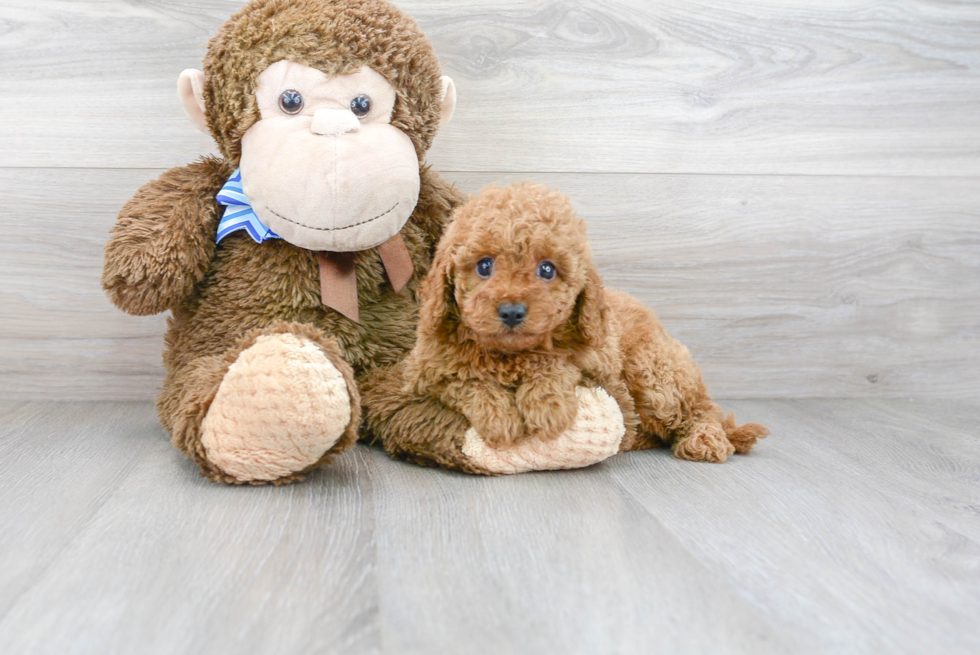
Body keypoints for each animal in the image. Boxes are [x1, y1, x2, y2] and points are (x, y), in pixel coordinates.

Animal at [394, 182, 768, 464]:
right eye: (484, 266)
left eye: (547, 270)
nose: (512, 311)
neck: (510, 354)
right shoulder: (424, 372)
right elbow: (464, 379)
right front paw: (498, 417)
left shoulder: (600, 367)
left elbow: (558, 363)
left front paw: (547, 407)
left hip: (655, 374)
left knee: (699, 409)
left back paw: (704, 439)